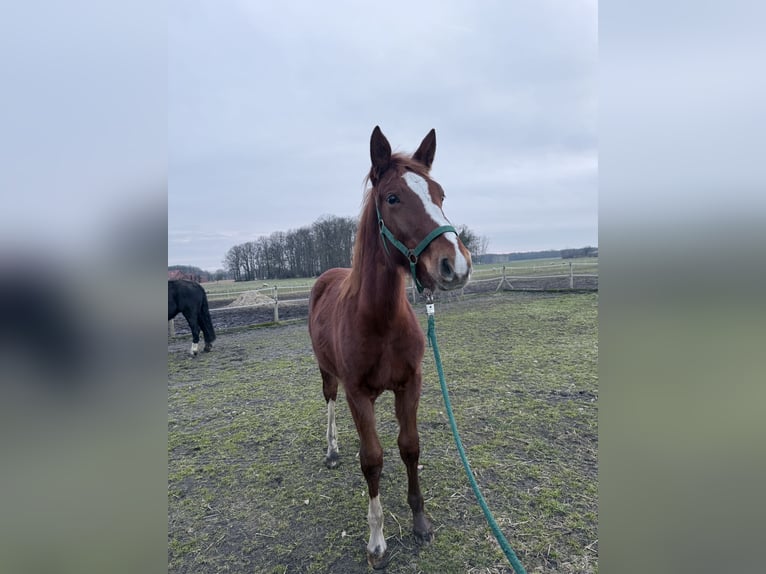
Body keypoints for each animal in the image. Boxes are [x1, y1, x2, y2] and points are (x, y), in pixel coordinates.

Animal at [308, 126, 472, 568]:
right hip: (328, 374)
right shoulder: (358, 393)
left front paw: (420, 522)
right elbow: (373, 460)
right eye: (392, 198)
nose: (455, 265)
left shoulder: (410, 383)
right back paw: (331, 449)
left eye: (440, 194)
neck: (379, 320)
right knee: (330, 402)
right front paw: (377, 541)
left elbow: (408, 447)